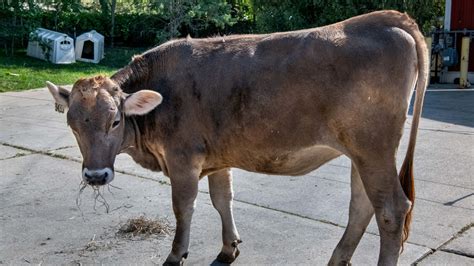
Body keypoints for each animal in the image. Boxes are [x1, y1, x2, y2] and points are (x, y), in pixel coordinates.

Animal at [46, 10, 428, 266]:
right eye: (73, 125)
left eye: (115, 121)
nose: (96, 176)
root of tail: (384, 18)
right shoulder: (217, 157)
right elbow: (222, 200)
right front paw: (229, 247)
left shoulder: (183, 159)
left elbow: (184, 208)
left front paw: (176, 255)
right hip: (360, 152)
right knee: (362, 205)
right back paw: (337, 258)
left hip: (373, 147)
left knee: (391, 210)